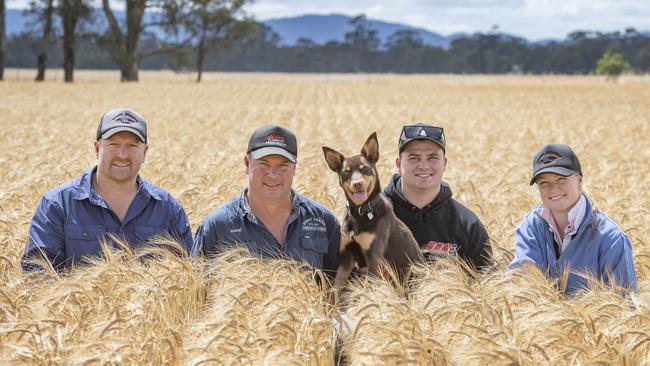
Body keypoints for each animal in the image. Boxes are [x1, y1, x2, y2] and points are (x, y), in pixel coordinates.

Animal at [322, 132, 422, 292]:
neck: (360, 212)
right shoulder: (346, 256)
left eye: (364, 168)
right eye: (346, 172)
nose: (357, 184)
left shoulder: (374, 257)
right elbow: (336, 288)